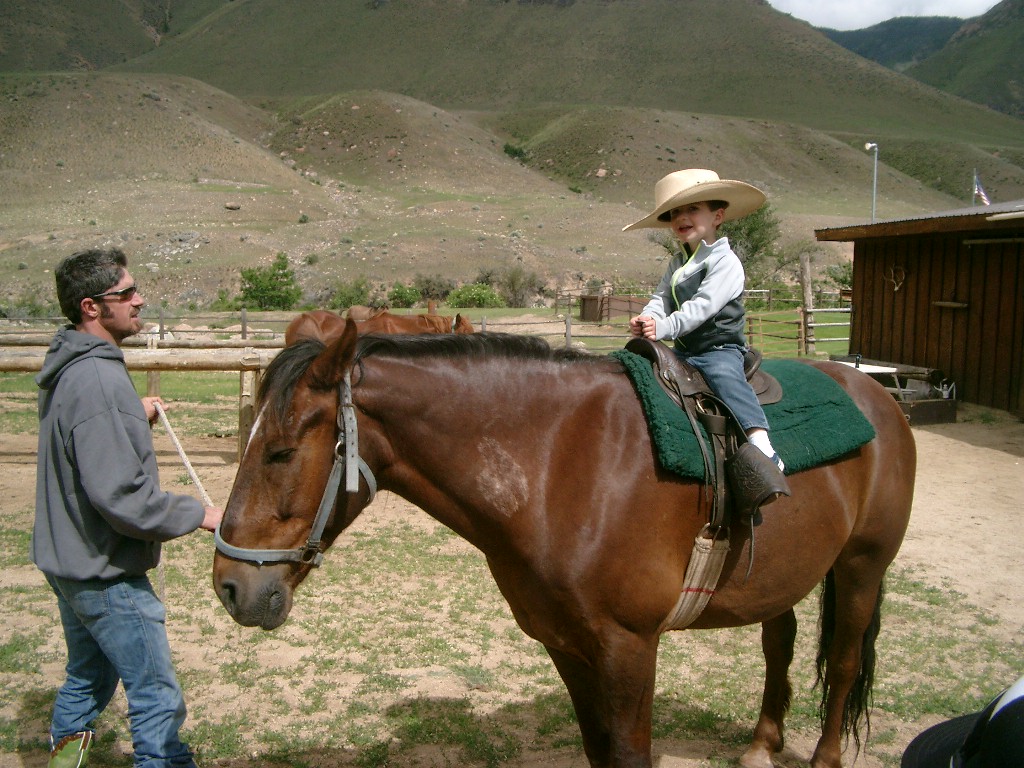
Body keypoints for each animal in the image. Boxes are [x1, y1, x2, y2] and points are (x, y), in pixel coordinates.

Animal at [214, 325, 913, 768]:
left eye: (280, 451)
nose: (230, 585)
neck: (557, 463)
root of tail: (877, 394)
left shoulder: (629, 646)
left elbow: (629, 754)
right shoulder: (566, 643)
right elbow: (598, 749)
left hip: (861, 567)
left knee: (843, 665)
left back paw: (823, 758)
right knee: (779, 647)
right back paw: (762, 746)